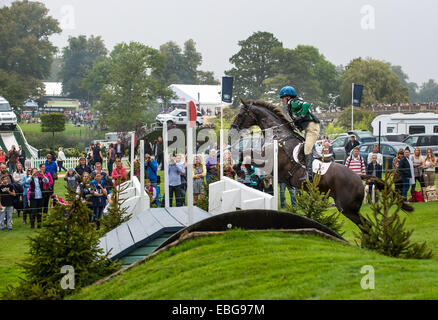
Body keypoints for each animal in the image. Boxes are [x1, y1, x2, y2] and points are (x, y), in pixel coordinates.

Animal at [231, 99, 412, 229]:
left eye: (240, 115)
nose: (232, 129)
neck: (278, 136)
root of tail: (358, 176)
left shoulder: (272, 161)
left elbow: (247, 154)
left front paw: (243, 171)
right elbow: (246, 154)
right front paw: (245, 172)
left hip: (347, 207)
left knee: (365, 225)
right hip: (348, 208)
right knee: (365, 225)